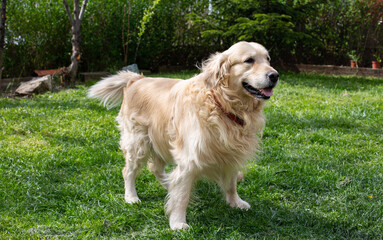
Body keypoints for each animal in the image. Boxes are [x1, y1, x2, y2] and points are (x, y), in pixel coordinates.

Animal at [88, 41, 280, 231]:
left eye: (268, 59)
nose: (275, 75)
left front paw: (235, 202)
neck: (222, 105)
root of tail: (137, 79)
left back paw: (168, 184)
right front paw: (178, 222)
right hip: (138, 142)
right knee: (128, 171)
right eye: (249, 60)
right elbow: (182, 196)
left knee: (156, 168)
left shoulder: (231, 153)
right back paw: (131, 196)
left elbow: (231, 183)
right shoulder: (190, 157)